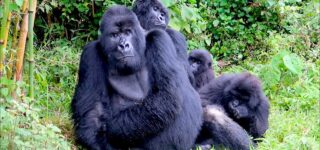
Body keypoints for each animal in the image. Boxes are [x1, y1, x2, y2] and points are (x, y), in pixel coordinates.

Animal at [71, 5, 201, 150]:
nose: (123, 45)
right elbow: (92, 110)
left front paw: (112, 128)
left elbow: (166, 96)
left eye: (128, 32)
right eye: (115, 35)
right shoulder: (90, 53)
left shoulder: (159, 39)